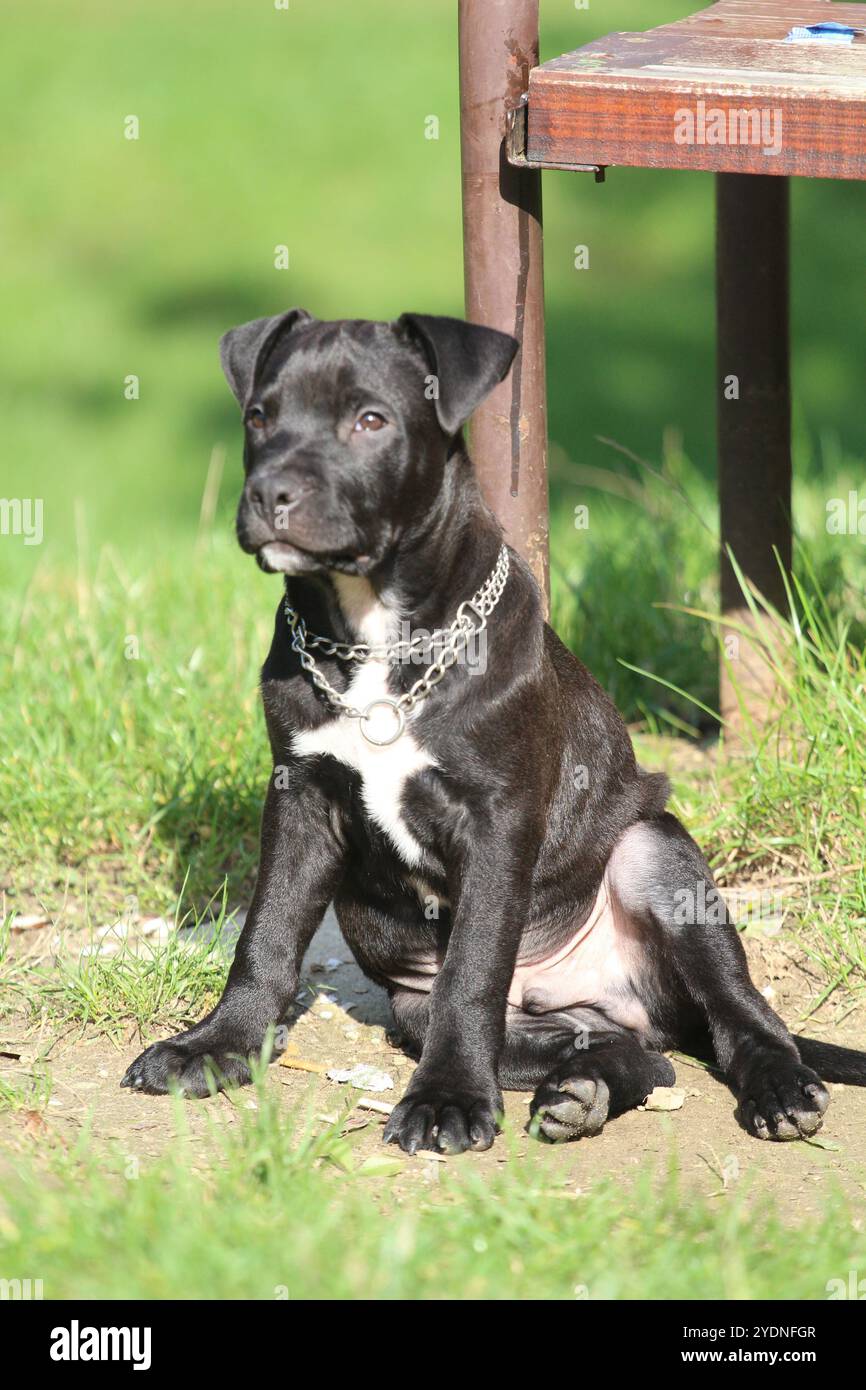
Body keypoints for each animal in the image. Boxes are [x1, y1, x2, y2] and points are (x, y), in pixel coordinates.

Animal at [122, 309, 866, 1156]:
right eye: (258, 417)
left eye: (370, 420)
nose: (270, 491)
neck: (373, 636)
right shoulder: (300, 797)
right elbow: (267, 935)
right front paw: (218, 1045)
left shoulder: (497, 818)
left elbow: (472, 970)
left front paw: (446, 1097)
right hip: (457, 1016)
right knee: (633, 1054)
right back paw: (579, 1094)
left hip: (655, 854)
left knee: (739, 1010)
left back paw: (778, 1086)